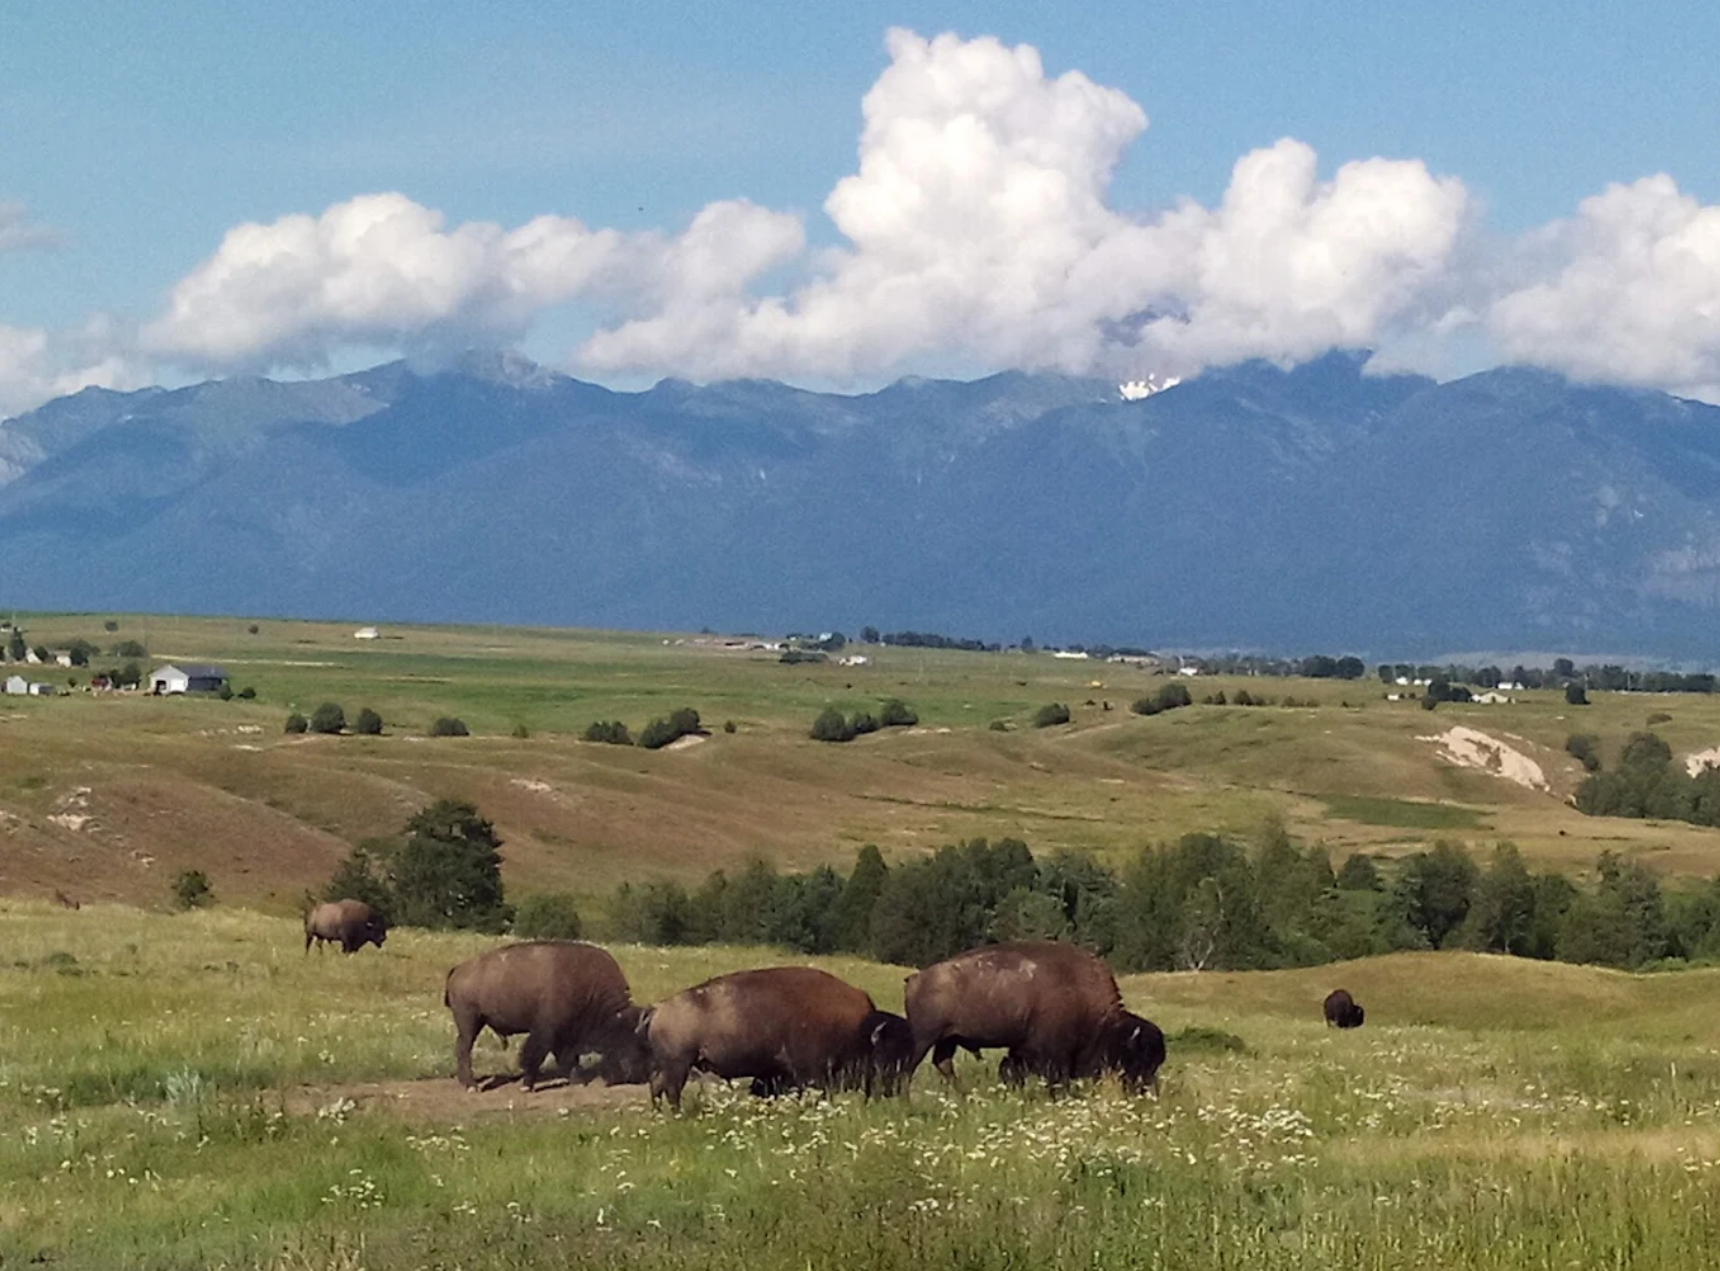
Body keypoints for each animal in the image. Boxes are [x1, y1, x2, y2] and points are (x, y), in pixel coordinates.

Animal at [444, 940, 649, 1090]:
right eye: (626, 1039)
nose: (634, 1075)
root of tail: (458, 969)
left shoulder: (565, 1034)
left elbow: (567, 1057)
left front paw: (578, 1080)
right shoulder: (546, 1031)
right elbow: (535, 1055)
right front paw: (527, 1085)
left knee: (461, 1047)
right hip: (470, 1022)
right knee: (464, 1048)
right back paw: (472, 1086)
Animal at [643, 965, 906, 1108]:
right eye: (886, 1053)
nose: (893, 1088)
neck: (857, 1029)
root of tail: (659, 1008)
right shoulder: (810, 1073)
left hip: (671, 1066)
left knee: (657, 1087)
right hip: (679, 1065)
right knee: (671, 1091)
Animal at [904, 940, 1165, 1093]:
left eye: (1156, 1063)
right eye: (1136, 1059)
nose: (1147, 1091)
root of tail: (916, 978)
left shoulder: (1022, 1048)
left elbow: (1010, 1068)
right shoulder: (1053, 1054)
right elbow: (1055, 1078)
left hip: (947, 1039)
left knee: (943, 1063)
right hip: (923, 1039)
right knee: (908, 1067)